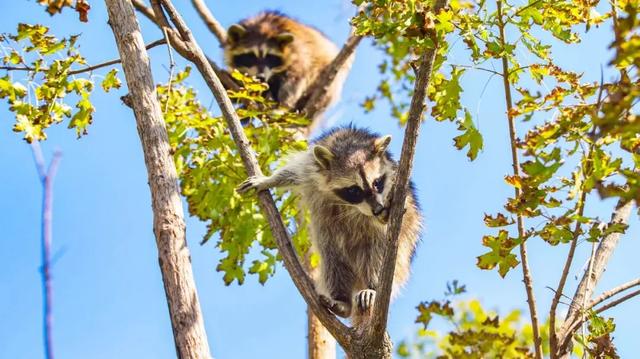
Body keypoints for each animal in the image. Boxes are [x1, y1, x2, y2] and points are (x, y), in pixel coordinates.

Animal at [221, 11, 350, 121]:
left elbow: (294, 81)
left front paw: (282, 106)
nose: (261, 76)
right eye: (251, 55)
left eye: (270, 57)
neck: (263, 27)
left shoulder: (299, 53)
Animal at [238, 126, 422, 324]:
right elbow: (292, 172)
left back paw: (372, 288)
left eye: (377, 183)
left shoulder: (393, 177)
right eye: (354, 190)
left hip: (401, 248)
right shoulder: (312, 165)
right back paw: (342, 301)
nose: (378, 209)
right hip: (331, 244)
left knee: (377, 258)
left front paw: (385, 211)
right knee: (333, 262)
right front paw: (268, 179)